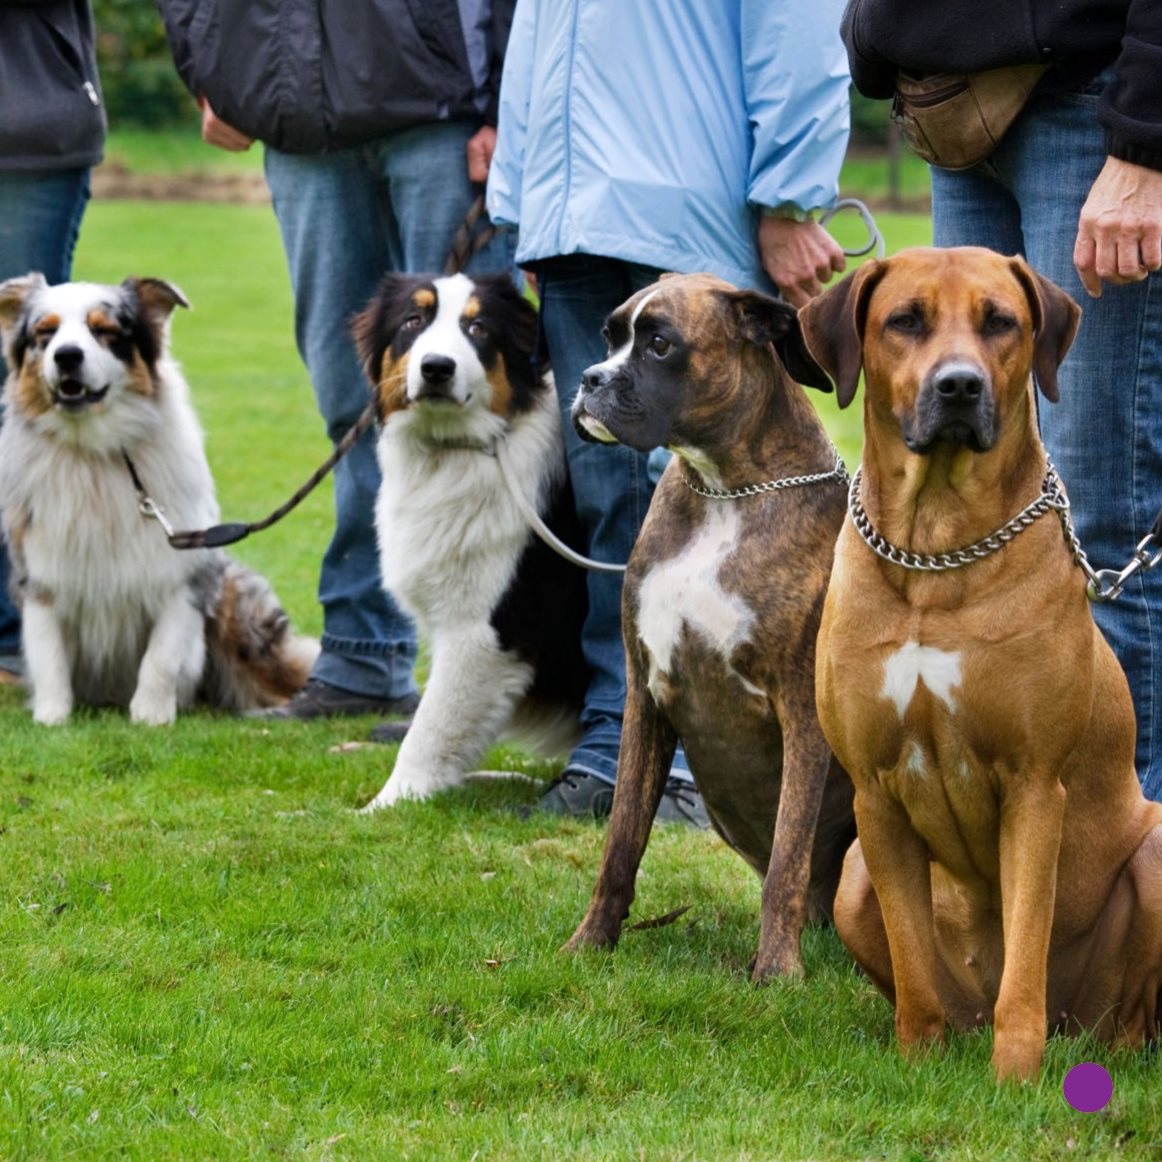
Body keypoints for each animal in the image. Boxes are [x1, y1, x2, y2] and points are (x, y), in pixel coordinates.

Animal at [0, 273, 316, 725]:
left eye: (104, 330)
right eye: (45, 333)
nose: (66, 356)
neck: (95, 453)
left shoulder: (181, 576)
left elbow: (162, 656)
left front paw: (151, 716)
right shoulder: (41, 574)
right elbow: (48, 654)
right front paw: (52, 718)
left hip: (239, 620)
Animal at [350, 271, 585, 808]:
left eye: (478, 328)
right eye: (413, 321)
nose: (437, 367)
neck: (455, 449)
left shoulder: (482, 631)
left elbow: (431, 727)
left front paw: (387, 804)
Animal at [562, 271, 855, 980]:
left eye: (661, 344)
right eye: (610, 335)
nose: (590, 378)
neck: (722, 491)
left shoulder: (804, 711)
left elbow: (787, 858)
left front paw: (776, 972)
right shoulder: (646, 696)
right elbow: (620, 844)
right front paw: (589, 943)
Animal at [799, 245, 1162, 1078]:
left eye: (1000, 322)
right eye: (905, 321)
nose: (959, 385)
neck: (936, 548)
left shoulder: (1034, 786)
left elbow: (1025, 952)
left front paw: (1015, 1077)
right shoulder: (874, 792)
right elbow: (910, 955)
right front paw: (915, 1057)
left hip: (1157, 851)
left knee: (1128, 1017)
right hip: (851, 878)